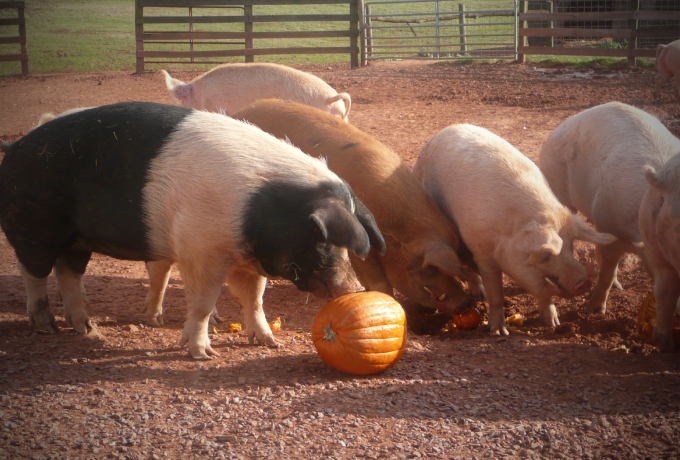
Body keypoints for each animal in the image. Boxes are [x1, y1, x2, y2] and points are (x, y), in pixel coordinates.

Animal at [0, 100, 382, 360]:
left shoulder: (245, 258)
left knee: (68, 273)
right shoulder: (202, 251)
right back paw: (46, 326)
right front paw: (203, 355)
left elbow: (254, 300)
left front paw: (269, 342)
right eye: (323, 240)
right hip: (33, 222)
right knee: (33, 272)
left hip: (76, 240)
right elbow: (201, 304)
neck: (255, 207)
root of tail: (15, 147)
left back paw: (87, 330)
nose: (353, 289)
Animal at [410, 125, 616, 334]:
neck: (509, 234)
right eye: (546, 256)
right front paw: (498, 332)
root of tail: (443, 130)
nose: (584, 282)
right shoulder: (483, 253)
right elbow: (496, 293)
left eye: (571, 246)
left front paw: (553, 324)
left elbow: (545, 292)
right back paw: (480, 296)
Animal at [540, 102, 676, 314]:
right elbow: (607, 272)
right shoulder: (611, 226)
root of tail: (559, 128)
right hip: (555, 181)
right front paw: (594, 311)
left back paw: (618, 286)